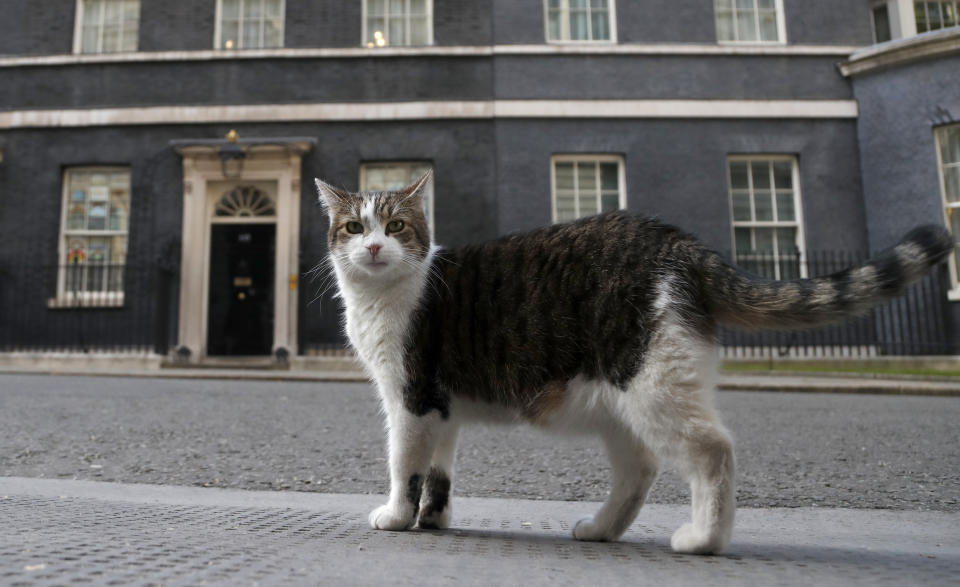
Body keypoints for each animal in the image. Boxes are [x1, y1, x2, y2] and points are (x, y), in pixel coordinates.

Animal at [314, 171, 952, 556]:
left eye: (397, 226)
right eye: (354, 227)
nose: (374, 247)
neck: (387, 296)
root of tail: (677, 242)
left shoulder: (410, 398)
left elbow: (405, 465)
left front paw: (397, 516)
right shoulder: (442, 409)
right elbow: (439, 471)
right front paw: (433, 519)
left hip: (652, 385)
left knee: (713, 451)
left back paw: (703, 539)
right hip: (619, 402)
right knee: (639, 469)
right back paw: (600, 530)